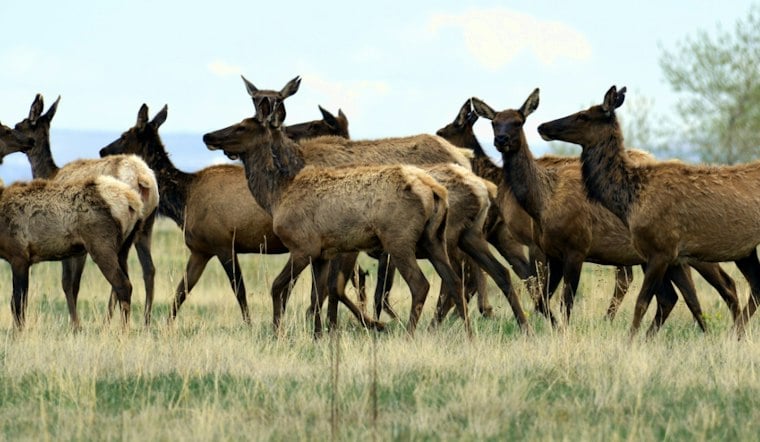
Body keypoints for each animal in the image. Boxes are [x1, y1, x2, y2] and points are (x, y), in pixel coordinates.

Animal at [2, 94, 159, 328]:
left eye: (18, 125)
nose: (27, 143)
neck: (51, 172)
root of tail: (144, 179)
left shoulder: (73, 244)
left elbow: (69, 283)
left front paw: (75, 325)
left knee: (121, 280)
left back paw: (108, 322)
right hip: (146, 225)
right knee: (148, 270)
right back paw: (146, 321)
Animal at [99, 104, 378, 328]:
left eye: (125, 135)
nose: (102, 150)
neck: (184, 200)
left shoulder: (224, 243)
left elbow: (240, 291)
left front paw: (250, 324)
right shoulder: (200, 250)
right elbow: (181, 291)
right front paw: (164, 326)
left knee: (346, 280)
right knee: (351, 279)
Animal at [471, 89, 740, 333]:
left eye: (519, 121)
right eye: (494, 122)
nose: (501, 140)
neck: (541, 204)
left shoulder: (576, 248)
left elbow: (565, 303)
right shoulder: (551, 252)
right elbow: (541, 301)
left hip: (691, 251)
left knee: (722, 286)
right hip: (666, 258)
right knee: (676, 297)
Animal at [538, 85, 759, 338]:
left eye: (583, 115)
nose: (542, 126)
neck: (630, 201)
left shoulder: (661, 250)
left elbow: (642, 303)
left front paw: (630, 342)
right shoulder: (672, 255)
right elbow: (685, 300)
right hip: (746, 251)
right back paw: (736, 335)